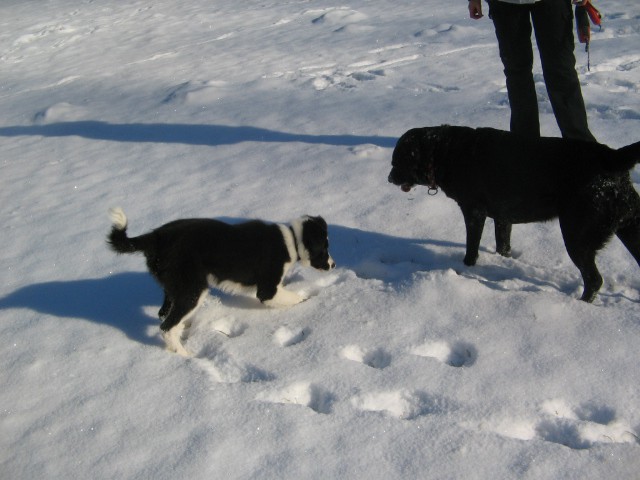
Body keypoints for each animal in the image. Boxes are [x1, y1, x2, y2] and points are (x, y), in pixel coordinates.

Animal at [106, 207, 336, 356]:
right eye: (324, 248)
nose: (333, 265)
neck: (292, 239)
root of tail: (155, 237)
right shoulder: (267, 290)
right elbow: (295, 299)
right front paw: (308, 302)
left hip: (174, 286)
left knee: (164, 315)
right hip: (192, 289)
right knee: (167, 327)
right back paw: (184, 355)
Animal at [384, 125, 640, 302]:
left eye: (397, 162)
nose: (388, 178)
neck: (443, 152)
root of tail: (611, 156)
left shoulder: (474, 211)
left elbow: (471, 247)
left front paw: (467, 268)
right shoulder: (503, 216)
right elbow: (503, 243)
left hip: (577, 235)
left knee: (594, 279)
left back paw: (581, 304)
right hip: (629, 226)